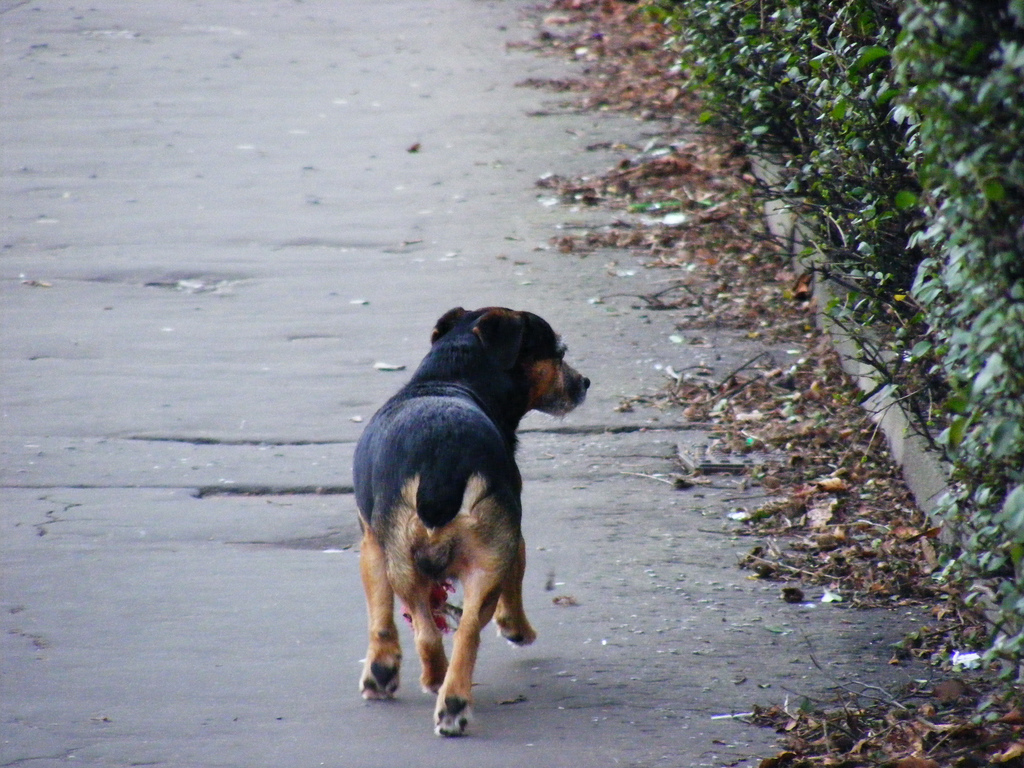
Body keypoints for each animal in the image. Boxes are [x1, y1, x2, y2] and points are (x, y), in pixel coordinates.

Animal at [354, 309, 589, 741]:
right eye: (559, 352)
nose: (584, 382)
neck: (449, 379)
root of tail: (441, 463)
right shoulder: (515, 542)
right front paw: (517, 630)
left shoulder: (372, 545)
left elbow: (380, 617)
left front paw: (381, 670)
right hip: (483, 555)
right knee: (463, 631)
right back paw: (452, 699)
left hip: (408, 561)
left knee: (433, 633)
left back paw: (443, 690)